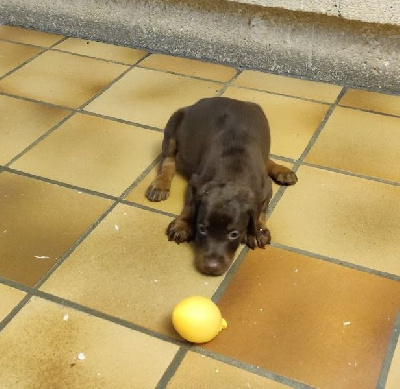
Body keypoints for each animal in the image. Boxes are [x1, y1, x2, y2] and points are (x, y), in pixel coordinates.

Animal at [147, 96, 296, 276]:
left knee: (267, 159)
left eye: (234, 234)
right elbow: (190, 206)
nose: (211, 268)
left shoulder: (265, 187)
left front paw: (257, 230)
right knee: (168, 159)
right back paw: (160, 185)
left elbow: (261, 209)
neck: (233, 175)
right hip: (173, 125)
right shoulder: (196, 182)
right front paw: (182, 224)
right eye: (202, 229)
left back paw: (282, 171)